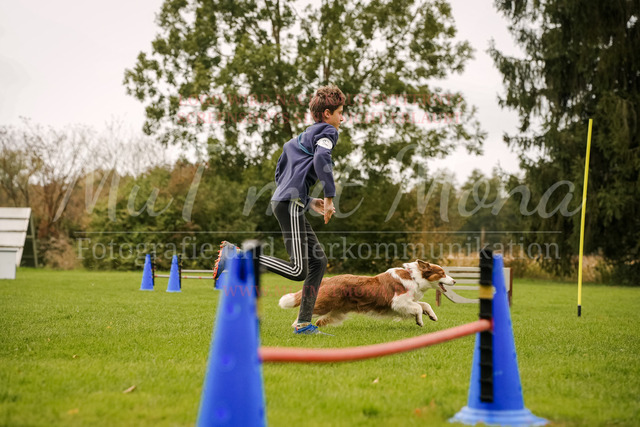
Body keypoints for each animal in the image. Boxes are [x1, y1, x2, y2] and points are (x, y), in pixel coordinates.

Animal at [278, 259, 456, 327]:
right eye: (442, 273)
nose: (454, 281)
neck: (414, 277)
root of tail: (327, 279)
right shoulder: (398, 302)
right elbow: (418, 308)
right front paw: (419, 321)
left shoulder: (407, 302)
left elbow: (425, 304)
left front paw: (432, 316)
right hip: (323, 305)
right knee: (304, 314)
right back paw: (299, 328)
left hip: (337, 312)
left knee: (320, 321)